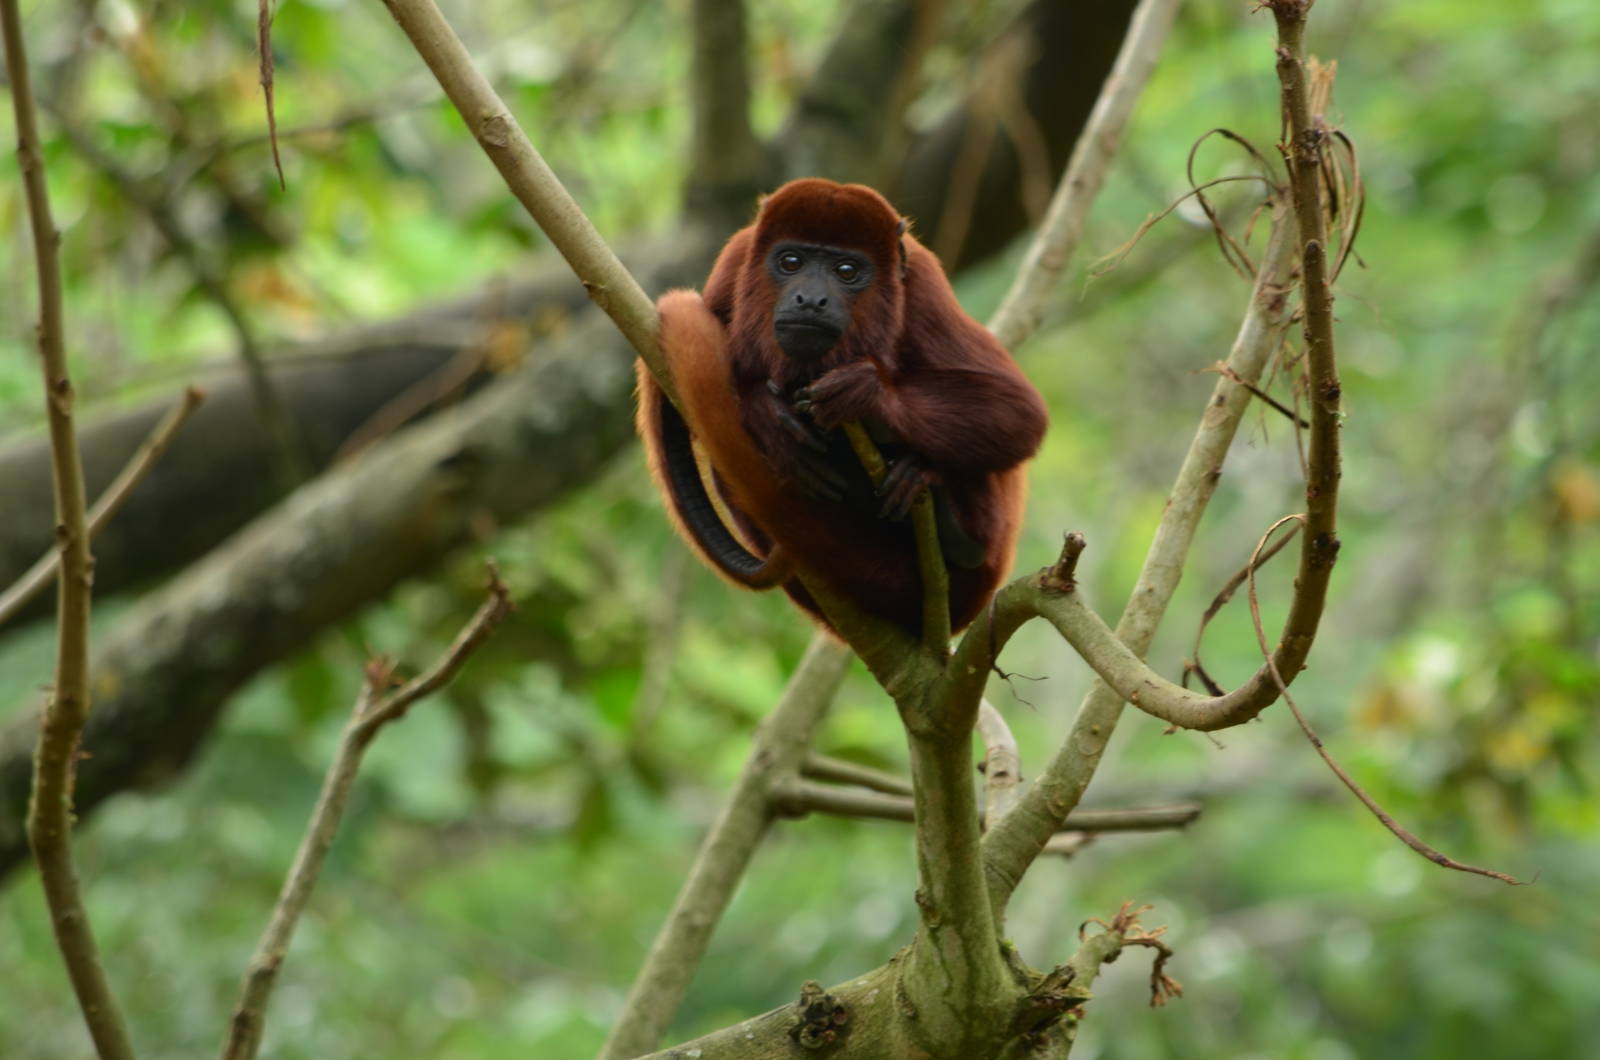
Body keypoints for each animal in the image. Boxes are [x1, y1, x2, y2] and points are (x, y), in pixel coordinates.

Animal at [638, 178, 1048, 637]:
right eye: (791, 261)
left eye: (847, 271)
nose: (810, 300)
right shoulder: (732, 265)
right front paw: (768, 415)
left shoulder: (925, 289)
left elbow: (1020, 413)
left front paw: (865, 394)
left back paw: (949, 520)